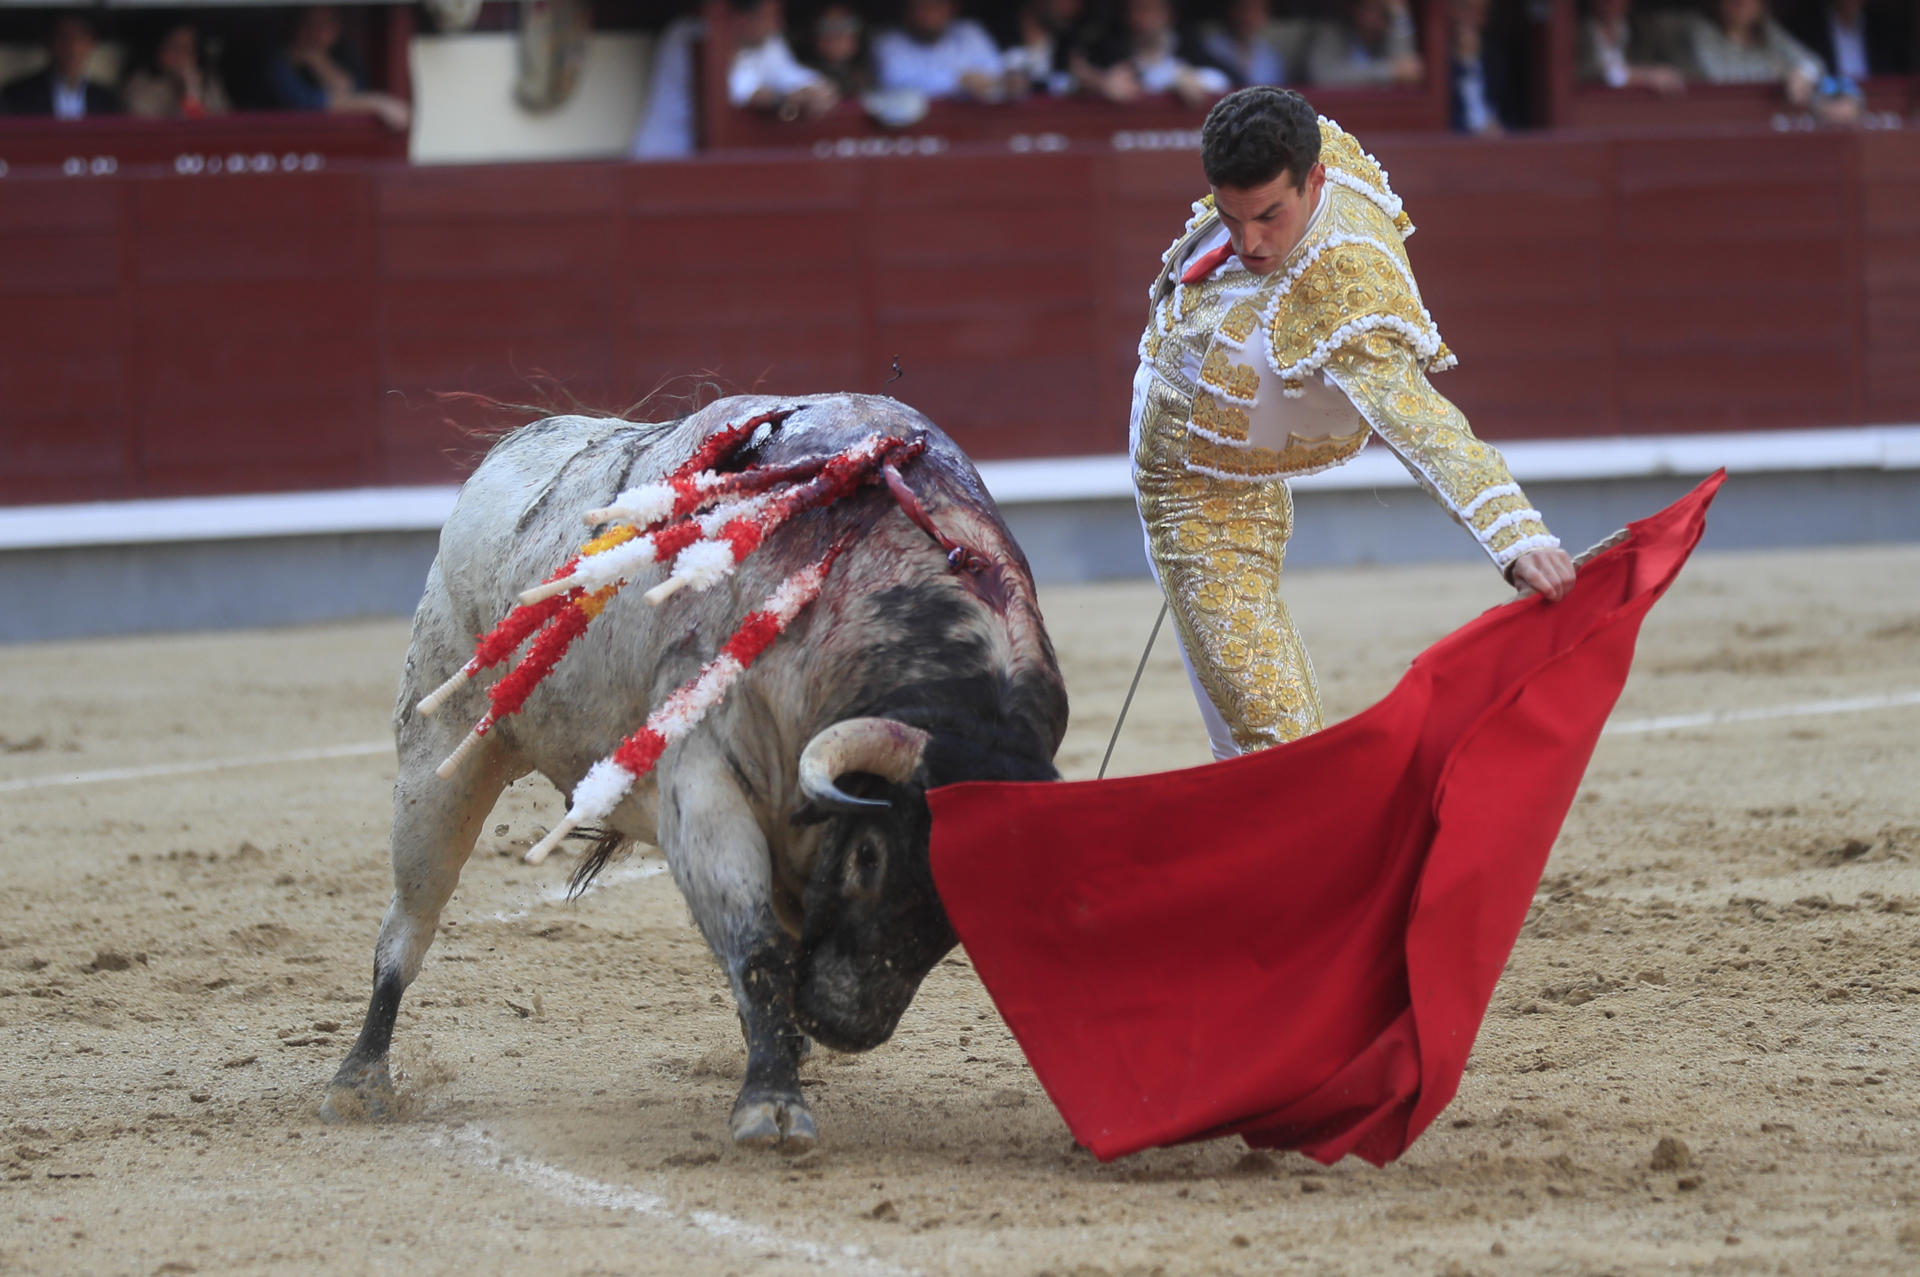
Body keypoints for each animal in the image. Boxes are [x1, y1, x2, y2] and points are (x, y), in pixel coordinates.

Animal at [316, 391, 1067, 1144]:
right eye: (870, 858)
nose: (847, 1023)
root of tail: (515, 446)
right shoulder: (705, 785)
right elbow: (758, 945)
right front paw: (771, 1103)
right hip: (439, 750)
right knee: (411, 917)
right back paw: (359, 1081)